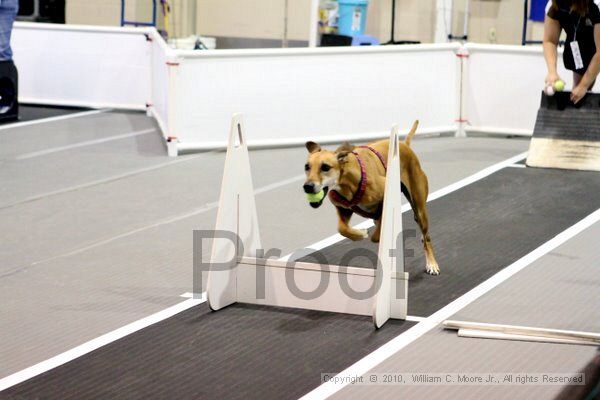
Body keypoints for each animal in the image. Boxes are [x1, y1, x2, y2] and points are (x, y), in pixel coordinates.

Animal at [302, 119, 438, 276]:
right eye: (307, 167)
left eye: (325, 167)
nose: (307, 186)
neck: (345, 180)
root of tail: (405, 144)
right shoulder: (343, 209)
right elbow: (342, 228)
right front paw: (360, 234)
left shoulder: (385, 198)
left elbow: (377, 233)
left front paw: (370, 234)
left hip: (419, 208)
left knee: (426, 236)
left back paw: (432, 263)